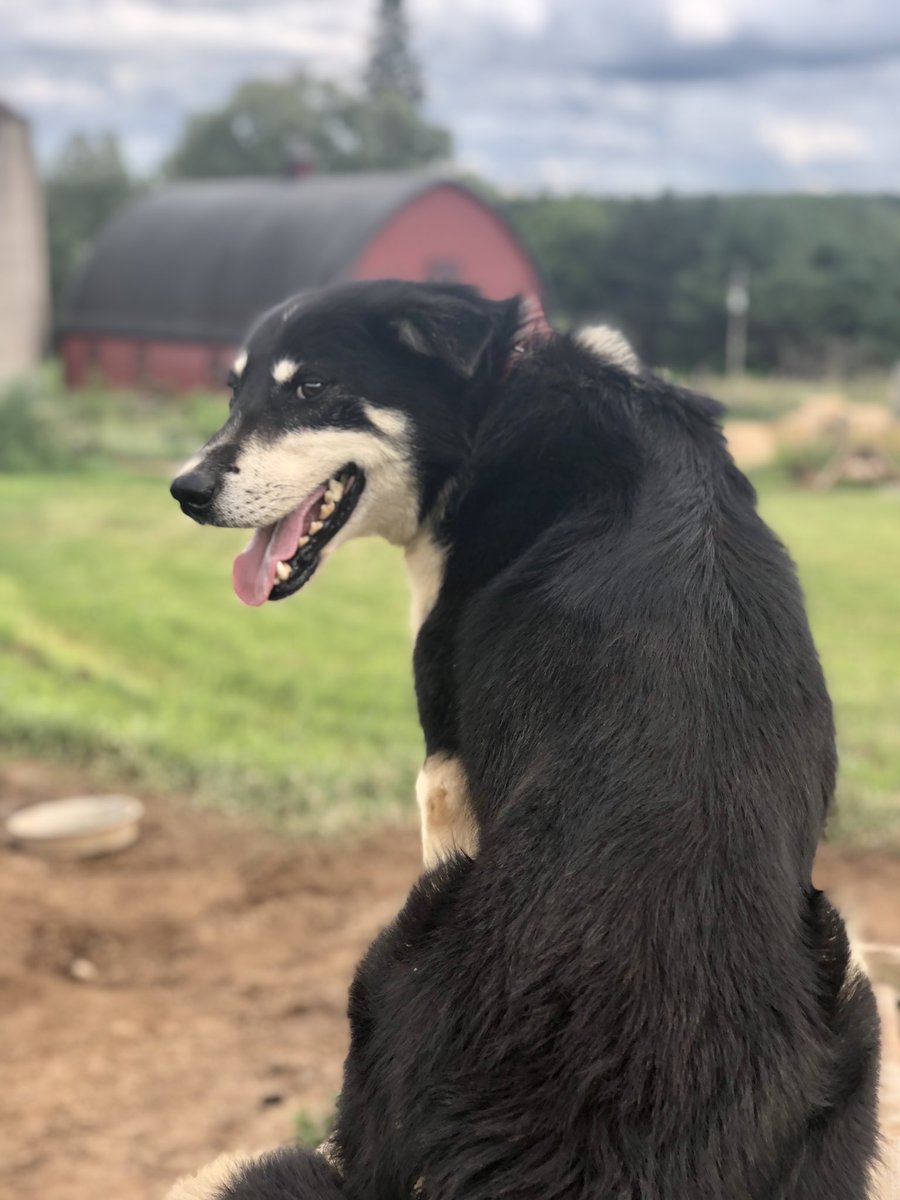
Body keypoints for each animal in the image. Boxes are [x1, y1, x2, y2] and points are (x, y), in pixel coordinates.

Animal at [168, 283, 883, 1200]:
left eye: (313, 388)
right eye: (234, 392)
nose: (183, 488)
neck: (490, 401)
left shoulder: (443, 771)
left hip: (402, 945)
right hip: (853, 1004)